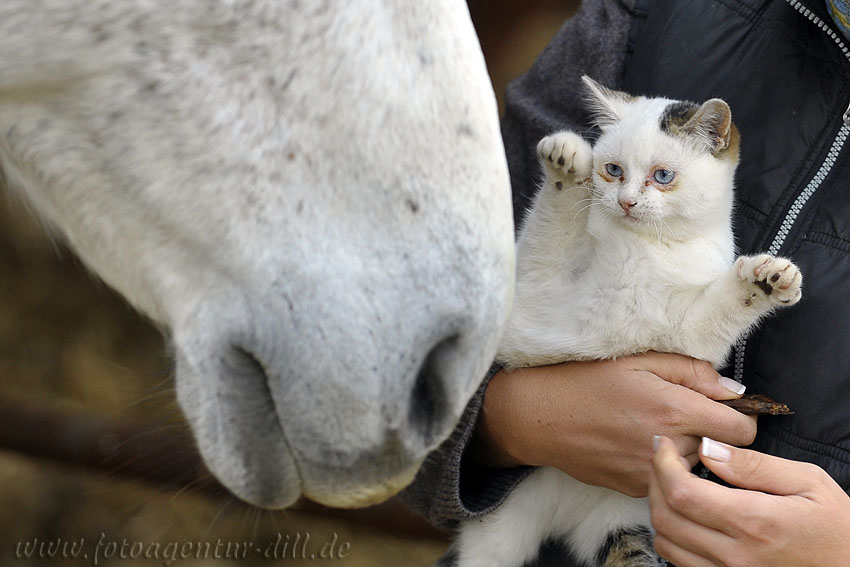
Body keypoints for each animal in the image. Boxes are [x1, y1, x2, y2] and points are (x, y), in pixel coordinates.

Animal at [450, 76, 800, 567]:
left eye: (663, 176)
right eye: (612, 170)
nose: (627, 201)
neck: (645, 245)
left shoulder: (688, 335)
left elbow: (717, 312)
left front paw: (766, 280)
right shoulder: (534, 297)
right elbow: (552, 229)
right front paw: (566, 163)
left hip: (620, 522)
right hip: (494, 536)